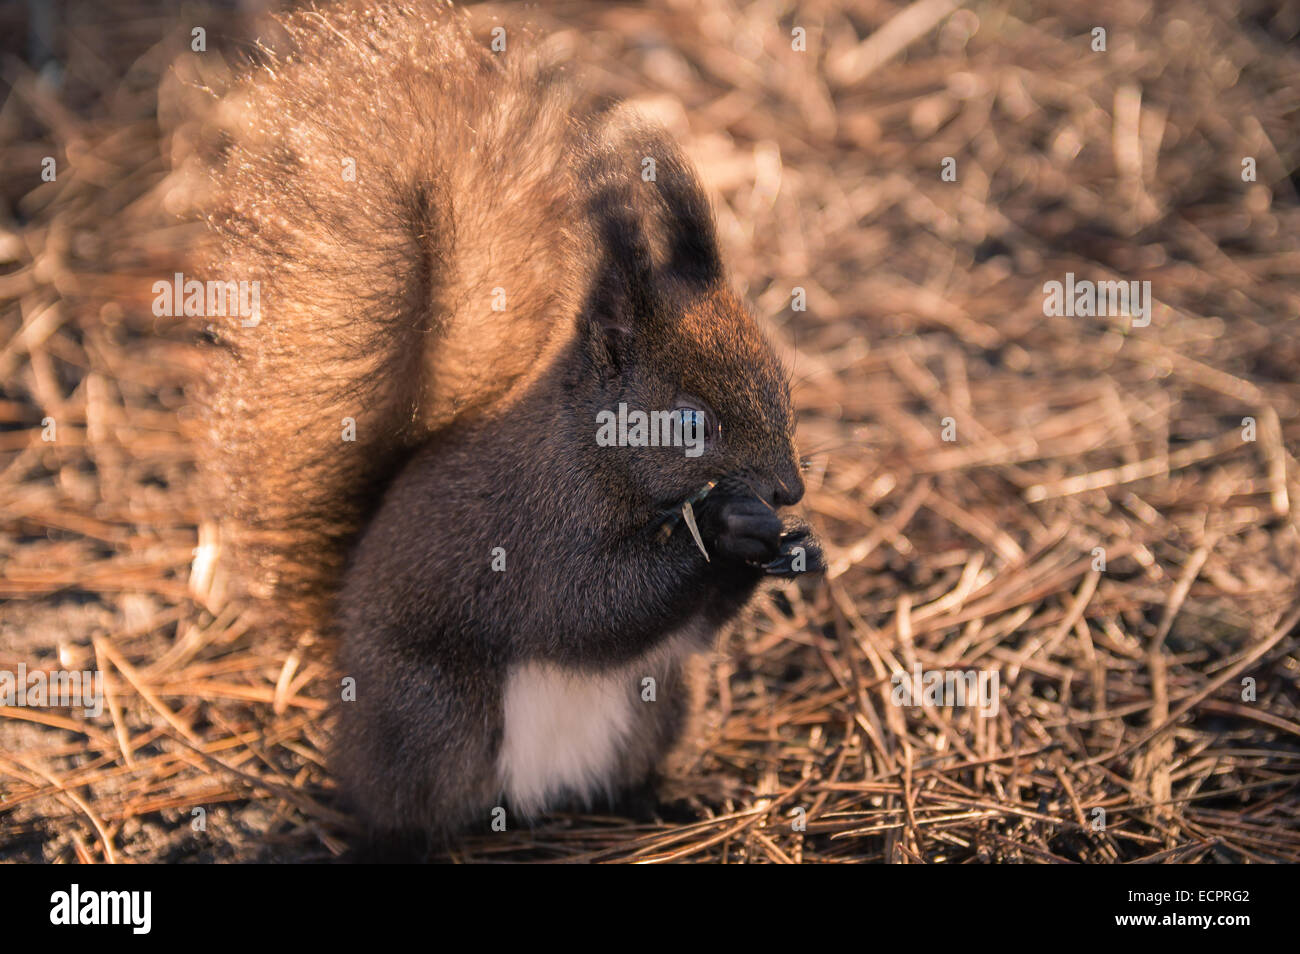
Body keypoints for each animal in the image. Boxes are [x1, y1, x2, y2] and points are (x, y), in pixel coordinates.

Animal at [183, 0, 821, 852]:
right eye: (689, 422)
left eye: (782, 384)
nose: (788, 491)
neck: (594, 454)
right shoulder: (533, 533)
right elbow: (588, 605)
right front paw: (726, 528)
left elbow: (688, 628)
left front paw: (795, 549)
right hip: (434, 721)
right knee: (400, 804)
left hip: (655, 704)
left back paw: (659, 802)